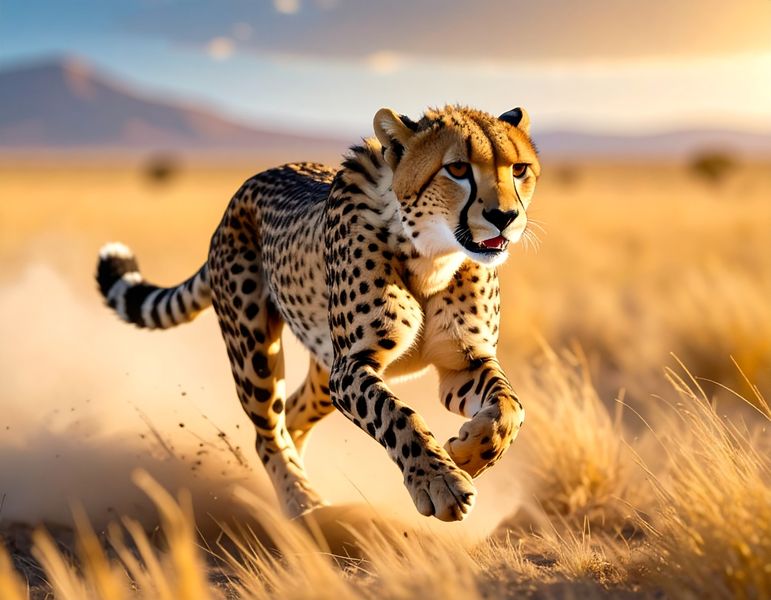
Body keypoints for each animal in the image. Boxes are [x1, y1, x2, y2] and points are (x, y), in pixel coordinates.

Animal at [96, 105, 541, 522]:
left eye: (519, 169)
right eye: (458, 169)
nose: (505, 217)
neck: (433, 256)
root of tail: (246, 186)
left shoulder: (461, 362)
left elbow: (510, 405)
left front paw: (469, 454)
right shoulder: (352, 366)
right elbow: (397, 416)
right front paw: (439, 480)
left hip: (322, 372)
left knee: (291, 416)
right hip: (256, 353)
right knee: (268, 432)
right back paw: (303, 503)